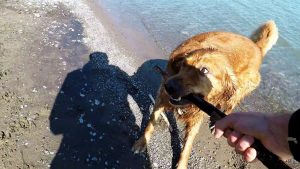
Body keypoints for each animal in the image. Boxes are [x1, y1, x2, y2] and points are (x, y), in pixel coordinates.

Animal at [132, 20, 278, 168]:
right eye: (183, 64)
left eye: (204, 70)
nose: (169, 86)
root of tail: (256, 46)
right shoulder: (161, 98)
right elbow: (151, 123)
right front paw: (141, 142)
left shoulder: (196, 117)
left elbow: (188, 145)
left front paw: (182, 164)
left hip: (239, 90)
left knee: (230, 105)